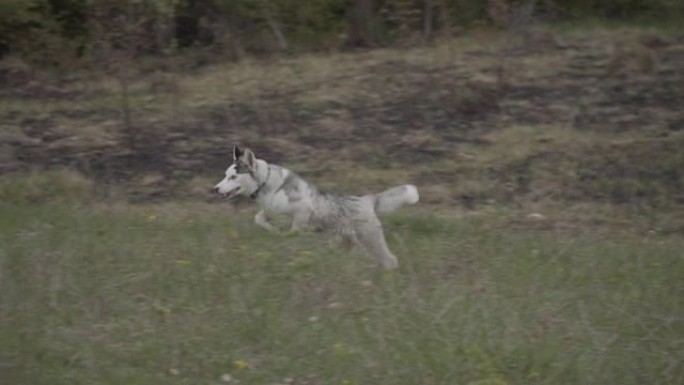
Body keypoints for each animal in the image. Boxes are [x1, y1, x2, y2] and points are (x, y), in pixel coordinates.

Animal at [214, 146, 420, 268]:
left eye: (233, 177)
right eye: (225, 175)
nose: (215, 189)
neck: (267, 183)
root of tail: (367, 200)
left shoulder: (303, 210)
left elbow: (294, 230)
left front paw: (291, 237)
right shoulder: (269, 211)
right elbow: (259, 219)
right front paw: (274, 231)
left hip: (371, 241)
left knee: (390, 260)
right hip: (352, 243)